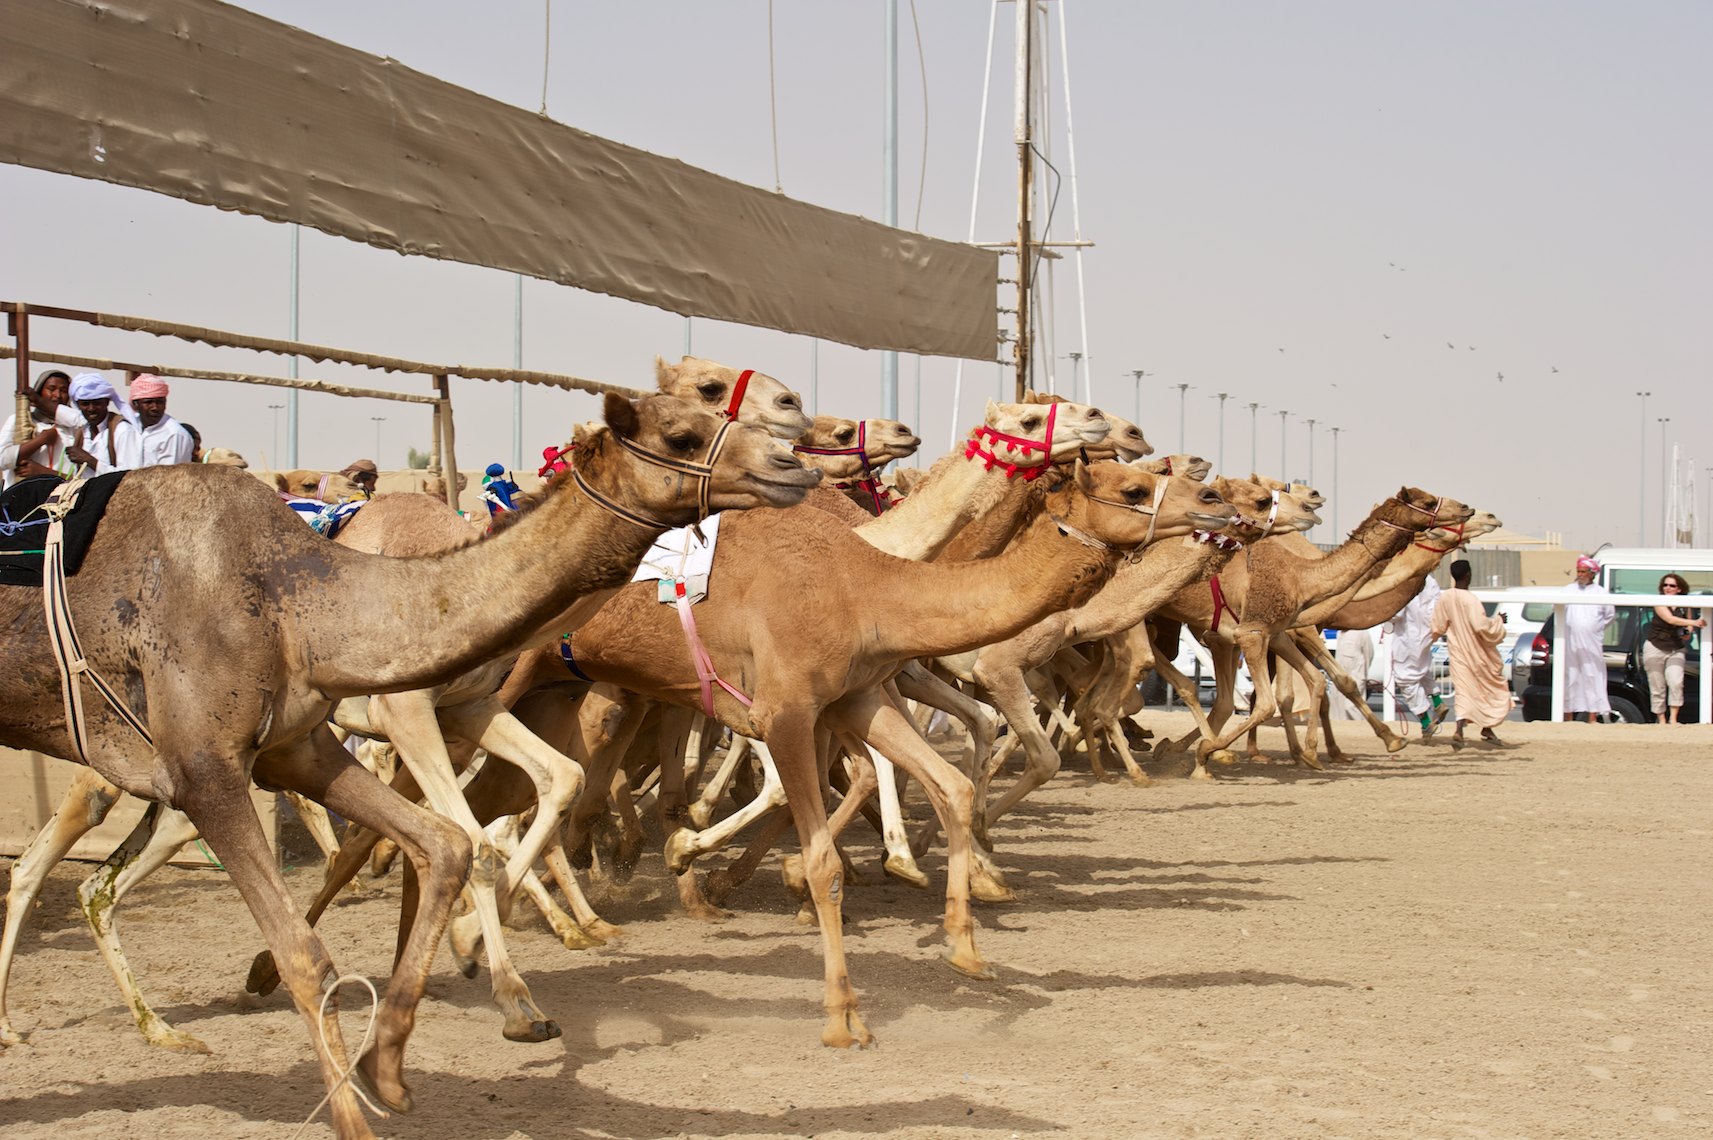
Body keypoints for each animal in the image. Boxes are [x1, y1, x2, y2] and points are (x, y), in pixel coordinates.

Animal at [0, 394, 818, 1138]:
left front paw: (393, 1061)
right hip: (126, 772)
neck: (300, 603)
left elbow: (455, 840)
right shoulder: (227, 763)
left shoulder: (323, 741)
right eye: (682, 432)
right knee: (47, 861)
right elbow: (321, 943)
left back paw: (157, 1029)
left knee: (100, 882)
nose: (792, 463)